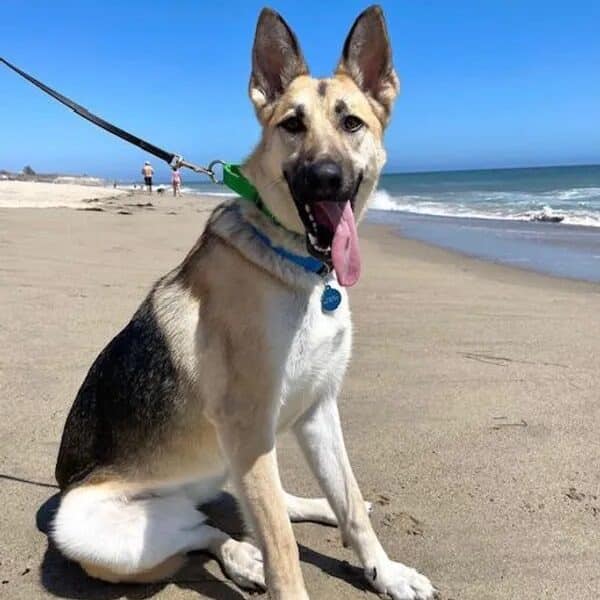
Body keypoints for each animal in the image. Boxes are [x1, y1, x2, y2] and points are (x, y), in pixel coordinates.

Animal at [52, 5, 436, 600]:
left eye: (351, 123)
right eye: (292, 126)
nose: (325, 178)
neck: (299, 267)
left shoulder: (317, 409)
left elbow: (350, 506)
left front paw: (385, 571)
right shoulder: (250, 427)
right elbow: (282, 550)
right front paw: (278, 568)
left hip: (230, 462)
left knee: (240, 510)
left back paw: (305, 511)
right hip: (87, 527)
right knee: (204, 531)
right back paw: (240, 558)